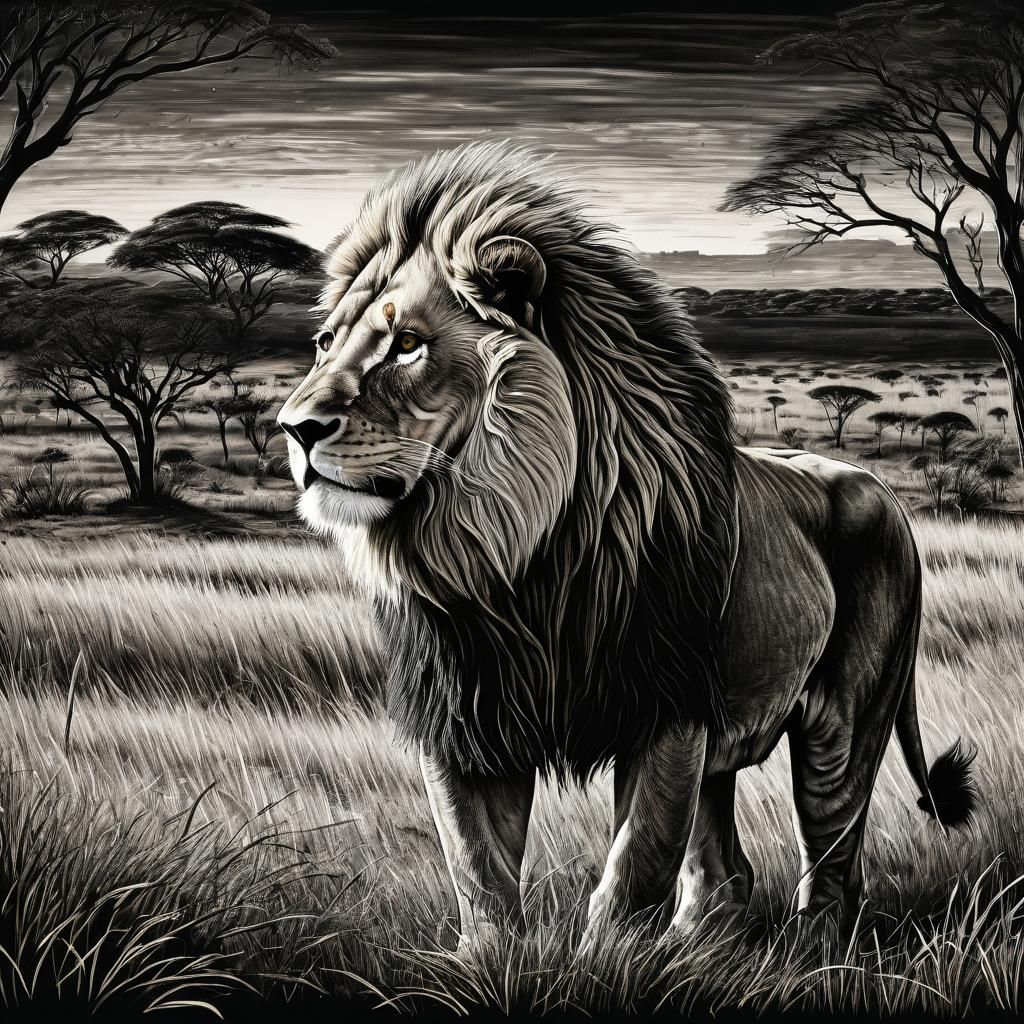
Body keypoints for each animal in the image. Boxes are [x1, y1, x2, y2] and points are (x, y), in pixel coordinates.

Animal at [278, 142, 976, 951]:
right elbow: (478, 869)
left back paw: (811, 953)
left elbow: (635, 864)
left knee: (833, 857)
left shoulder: (666, 712)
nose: (294, 427)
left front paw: (606, 963)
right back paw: (699, 949)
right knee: (724, 868)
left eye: (409, 345)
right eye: (326, 343)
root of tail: (881, 489)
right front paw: (491, 961)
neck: (513, 558)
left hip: (845, 718)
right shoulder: (464, 722)